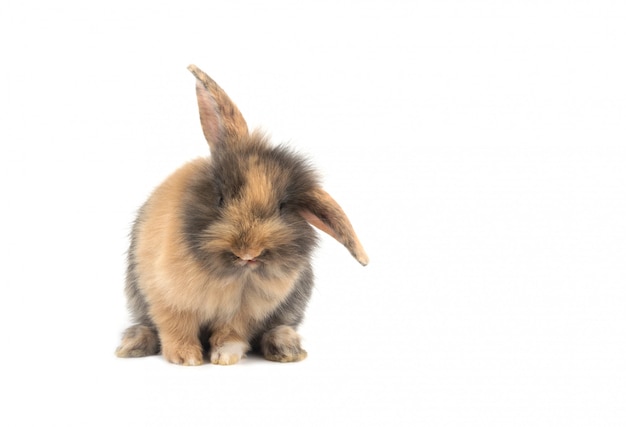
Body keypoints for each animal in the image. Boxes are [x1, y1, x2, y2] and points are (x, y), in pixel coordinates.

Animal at [114, 65, 366, 366]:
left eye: (282, 207)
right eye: (221, 199)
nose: (248, 253)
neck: (230, 274)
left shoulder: (244, 313)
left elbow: (230, 333)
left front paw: (225, 357)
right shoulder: (168, 298)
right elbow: (177, 328)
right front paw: (187, 358)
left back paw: (286, 348)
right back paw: (132, 345)